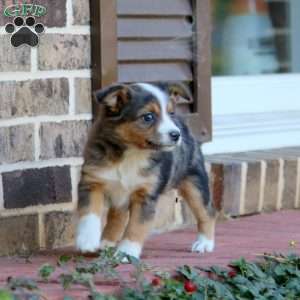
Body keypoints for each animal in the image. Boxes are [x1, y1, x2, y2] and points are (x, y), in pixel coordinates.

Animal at [74, 82, 216, 260]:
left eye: (170, 113)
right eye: (148, 117)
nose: (176, 135)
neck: (132, 153)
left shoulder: (145, 195)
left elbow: (136, 226)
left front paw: (127, 251)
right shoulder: (92, 182)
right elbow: (89, 214)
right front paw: (87, 241)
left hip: (194, 183)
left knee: (207, 213)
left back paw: (204, 243)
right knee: (117, 216)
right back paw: (106, 242)